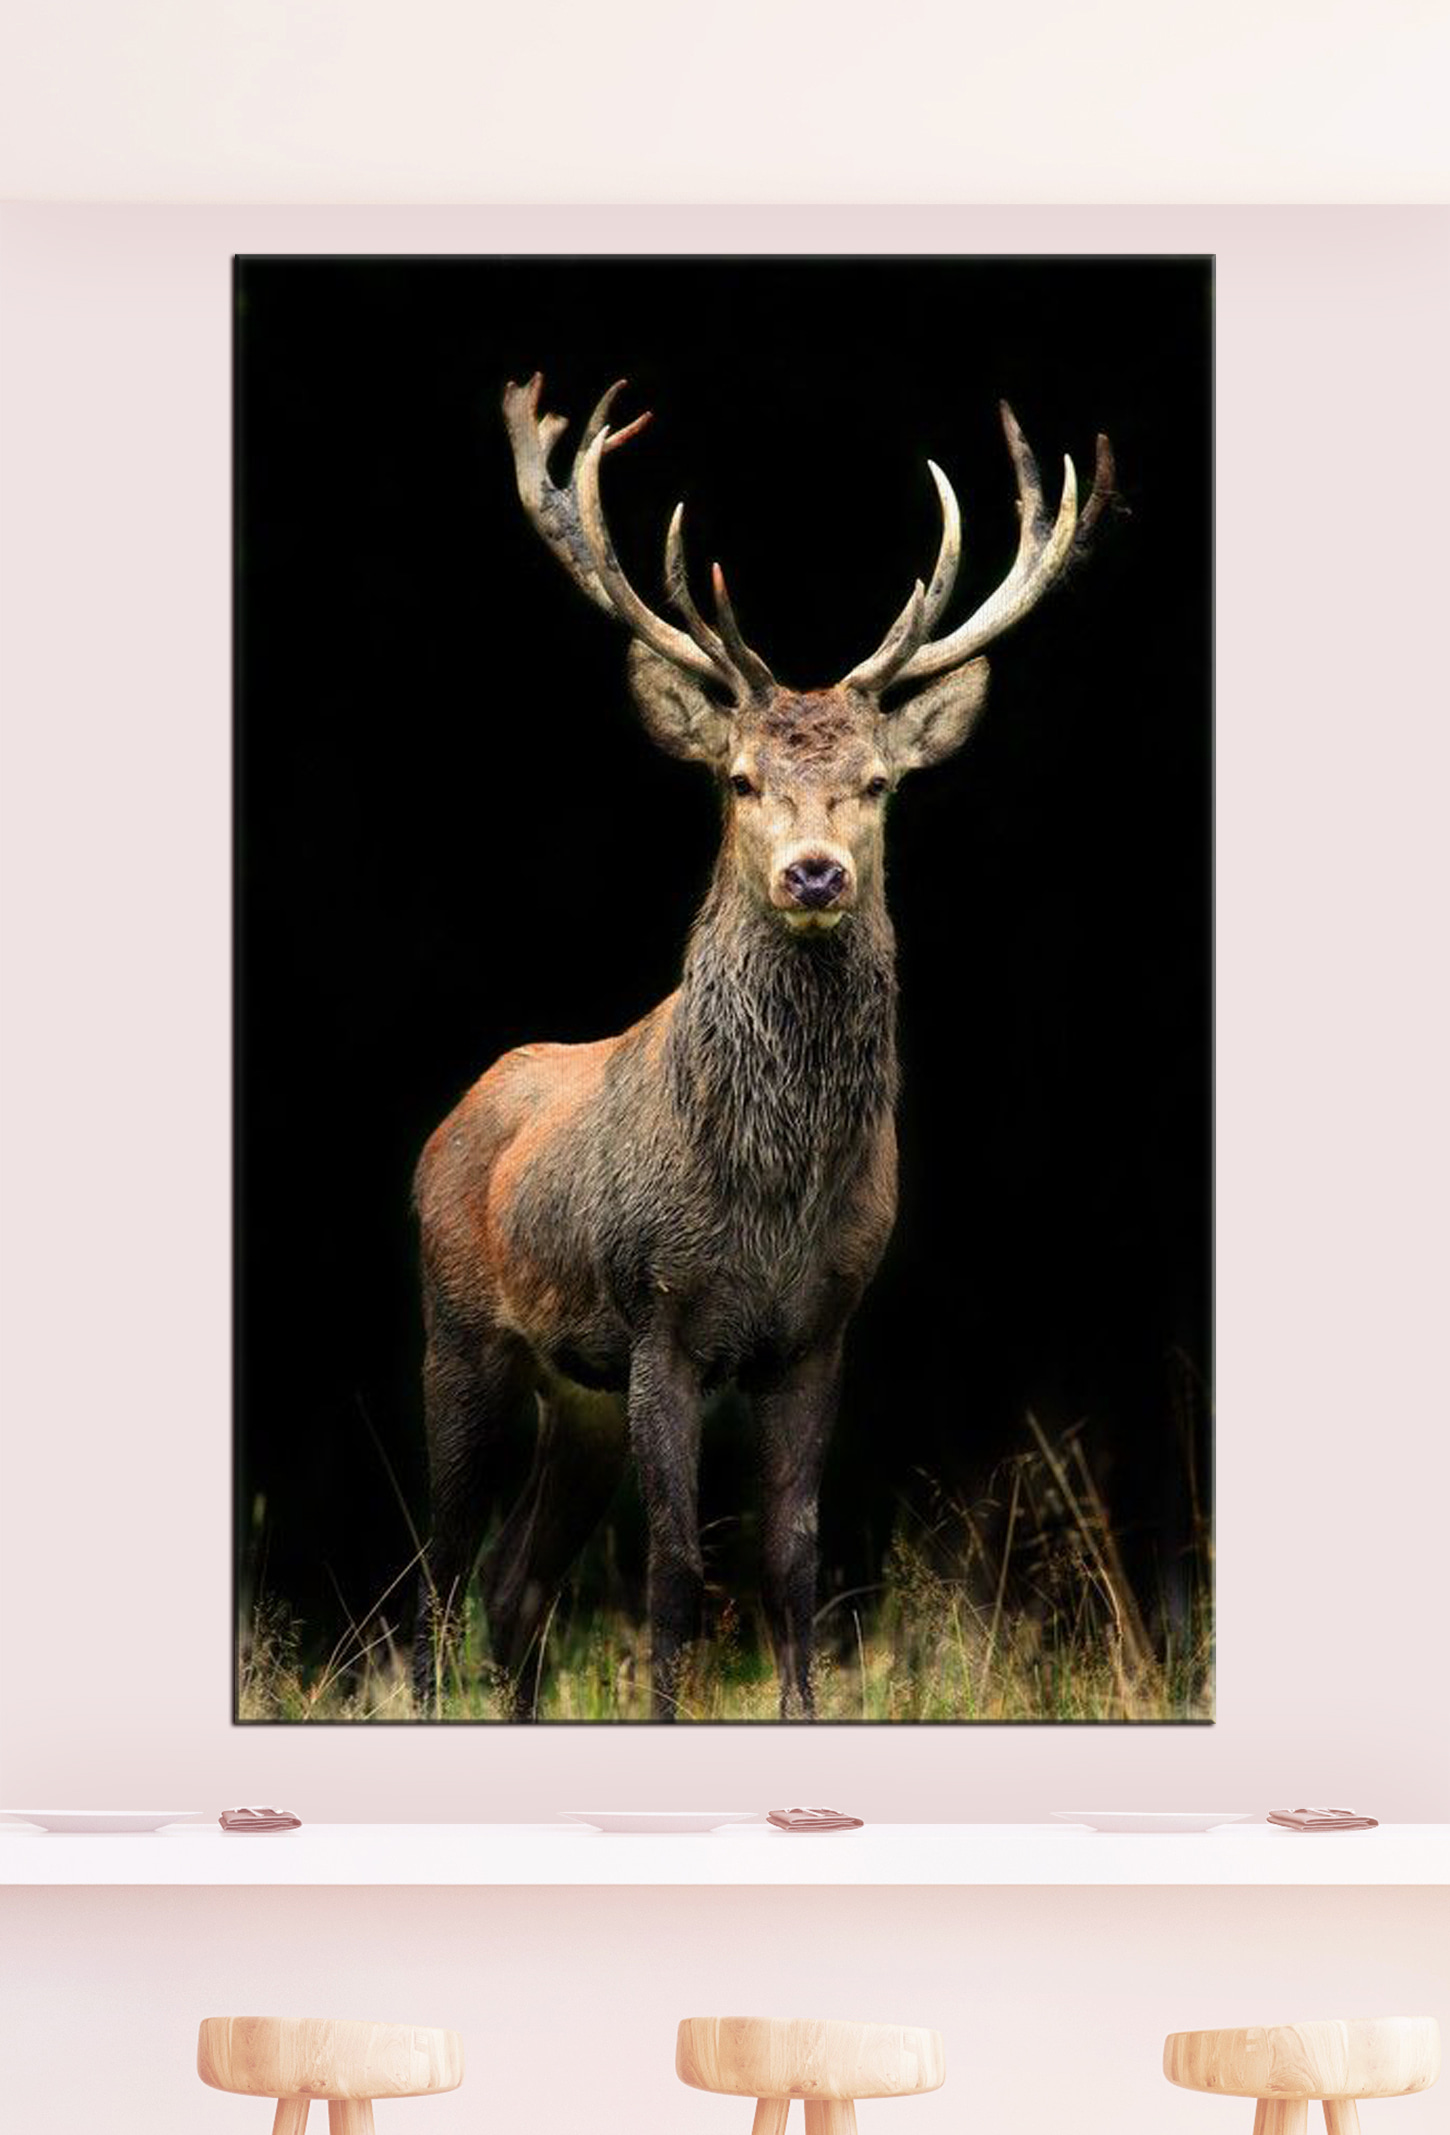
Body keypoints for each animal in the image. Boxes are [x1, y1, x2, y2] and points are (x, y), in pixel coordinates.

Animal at [412, 373, 1113, 1720]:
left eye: (880, 784)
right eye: (739, 779)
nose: (815, 871)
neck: (768, 1198)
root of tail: (449, 1119)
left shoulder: (822, 1327)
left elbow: (795, 1557)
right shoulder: (660, 1315)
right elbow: (678, 1567)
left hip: (575, 1390)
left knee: (513, 1585)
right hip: (462, 1329)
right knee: (435, 1565)